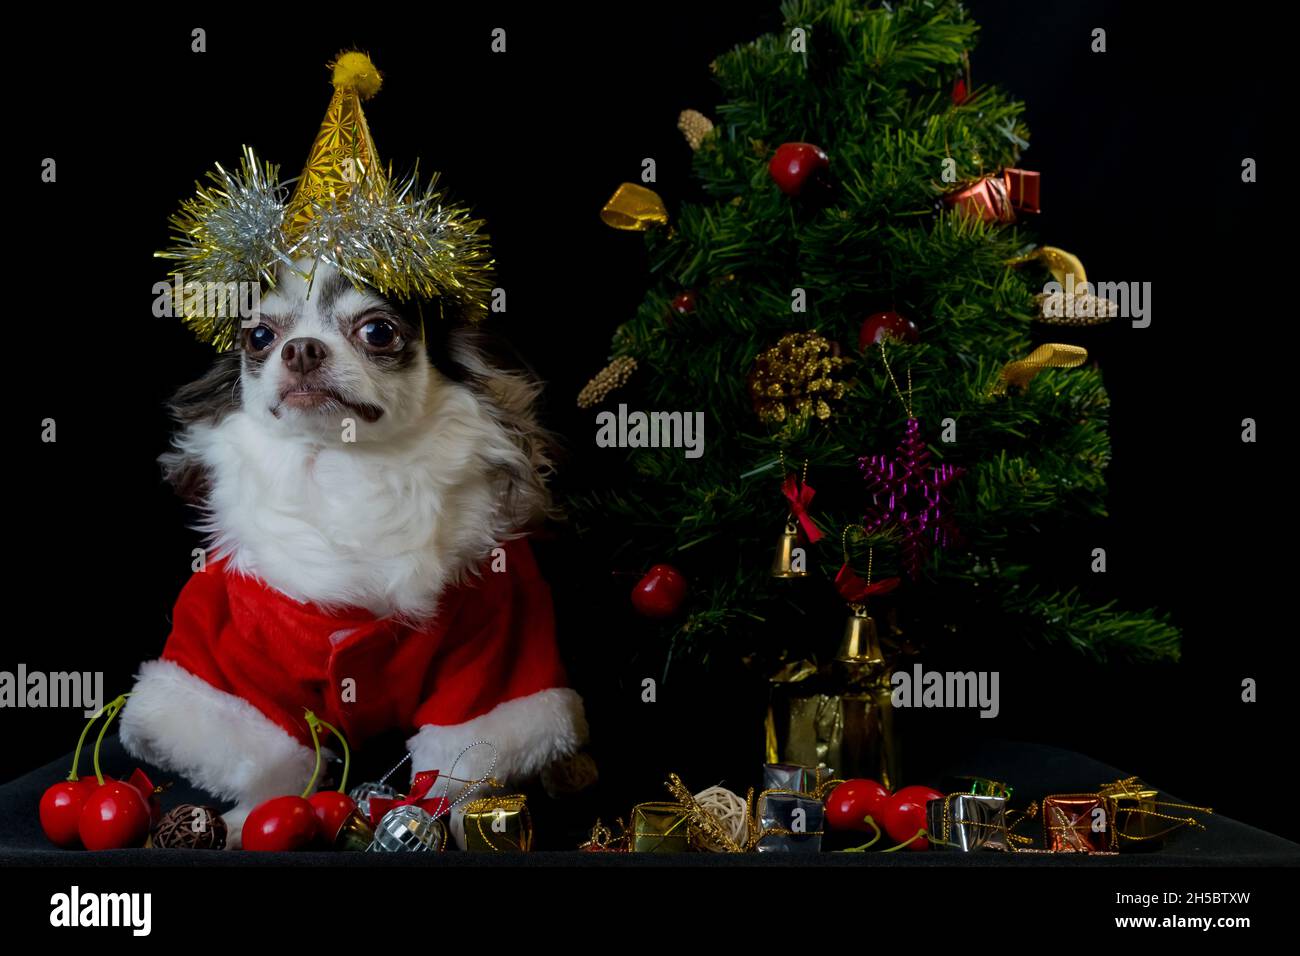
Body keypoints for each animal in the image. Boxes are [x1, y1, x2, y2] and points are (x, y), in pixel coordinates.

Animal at [122, 260, 590, 842]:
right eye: (259, 337)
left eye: (378, 332)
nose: (300, 349)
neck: (348, 468)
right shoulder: (233, 650)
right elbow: (265, 755)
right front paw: (248, 818)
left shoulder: (496, 644)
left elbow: (466, 757)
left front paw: (472, 824)